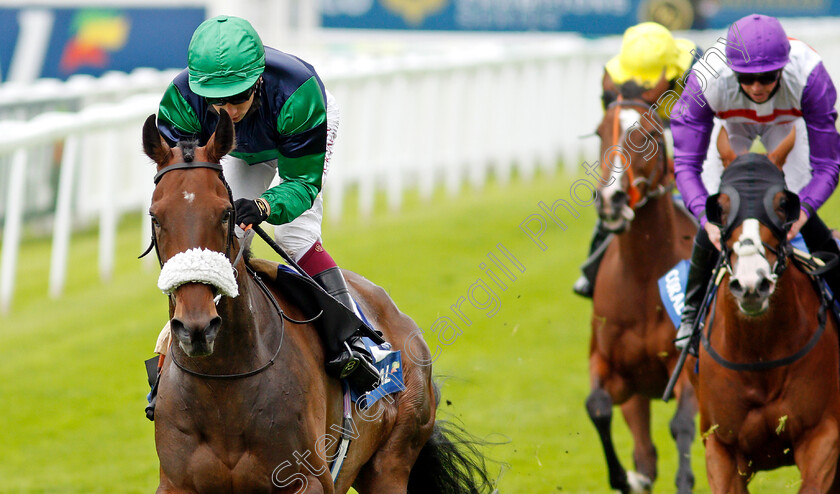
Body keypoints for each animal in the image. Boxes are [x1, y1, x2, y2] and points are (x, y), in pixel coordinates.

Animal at [139, 112, 492, 494]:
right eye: (155, 217)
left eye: (226, 213)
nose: (196, 327)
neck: (224, 386)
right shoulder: (176, 483)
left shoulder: (306, 480)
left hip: (392, 460)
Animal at [584, 94, 696, 492]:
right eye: (600, 132)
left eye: (648, 134)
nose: (611, 199)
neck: (643, 278)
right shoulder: (610, 366)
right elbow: (597, 406)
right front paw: (625, 478)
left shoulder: (687, 364)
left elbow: (682, 423)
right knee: (645, 451)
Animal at [688, 146, 840, 490]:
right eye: (720, 207)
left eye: (783, 204)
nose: (752, 284)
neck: (759, 353)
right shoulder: (721, 448)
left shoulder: (823, 436)